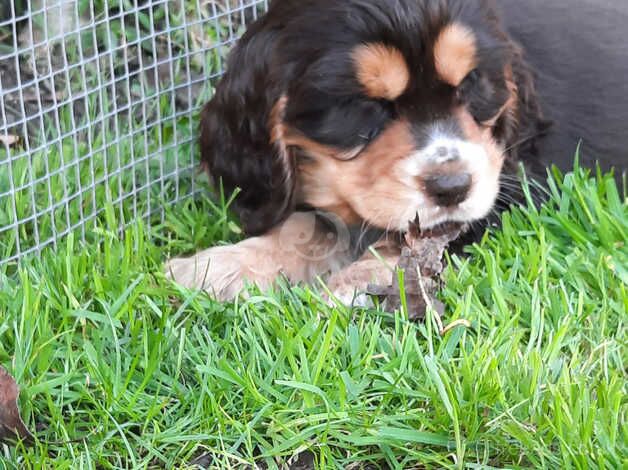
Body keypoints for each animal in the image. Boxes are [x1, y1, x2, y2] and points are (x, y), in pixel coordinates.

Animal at [167, 0, 628, 302]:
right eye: (362, 106)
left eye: (470, 85)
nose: (452, 187)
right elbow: (305, 225)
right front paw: (220, 267)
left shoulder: (514, 184)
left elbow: (424, 240)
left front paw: (356, 282)